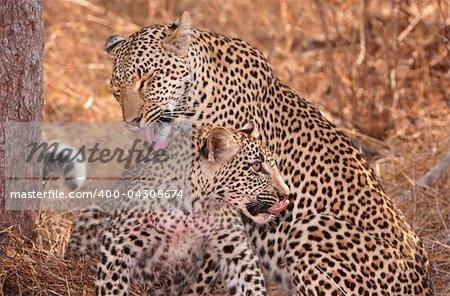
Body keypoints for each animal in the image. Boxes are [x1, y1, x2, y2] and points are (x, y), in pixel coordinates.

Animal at [103, 12, 430, 294]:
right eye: (117, 91)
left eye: (147, 79)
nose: (132, 122)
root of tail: (423, 285)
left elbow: (205, 266)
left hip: (309, 227)